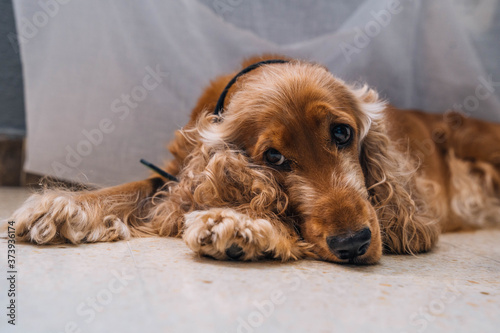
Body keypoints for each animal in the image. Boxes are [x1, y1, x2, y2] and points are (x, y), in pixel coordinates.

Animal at [9, 55, 500, 264]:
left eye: (342, 132)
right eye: (274, 156)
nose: (353, 243)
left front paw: (240, 227)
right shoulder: (177, 175)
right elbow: (136, 188)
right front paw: (60, 207)